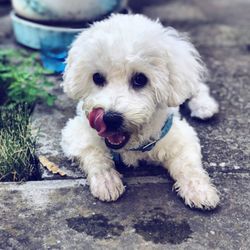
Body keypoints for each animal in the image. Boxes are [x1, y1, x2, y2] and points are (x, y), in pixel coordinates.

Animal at [61, 13, 220, 209]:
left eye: (140, 79)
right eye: (97, 77)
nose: (110, 118)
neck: (131, 144)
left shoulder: (180, 137)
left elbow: (189, 166)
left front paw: (200, 191)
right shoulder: (76, 133)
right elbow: (95, 155)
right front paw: (106, 180)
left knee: (196, 85)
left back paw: (204, 106)